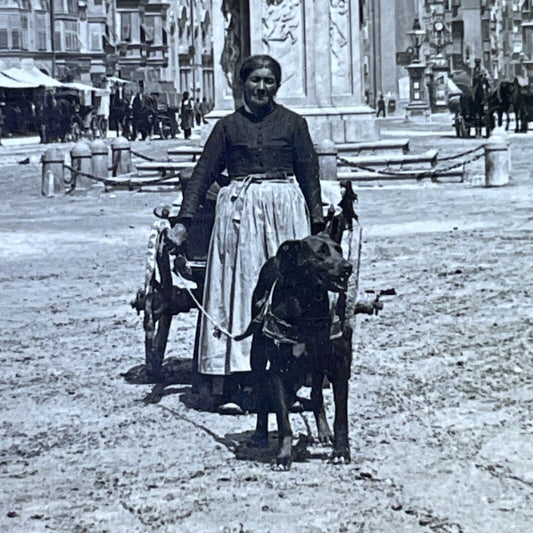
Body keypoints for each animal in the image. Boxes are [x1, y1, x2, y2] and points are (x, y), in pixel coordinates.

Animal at [235, 231, 352, 468]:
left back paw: (324, 432)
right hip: (257, 356)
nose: (348, 267)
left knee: (316, 395)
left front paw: (341, 451)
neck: (306, 304)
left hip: (316, 367)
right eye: (321, 252)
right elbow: (283, 419)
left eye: (339, 249)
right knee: (262, 397)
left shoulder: (338, 367)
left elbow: (341, 418)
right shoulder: (278, 370)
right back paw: (260, 434)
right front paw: (284, 455)